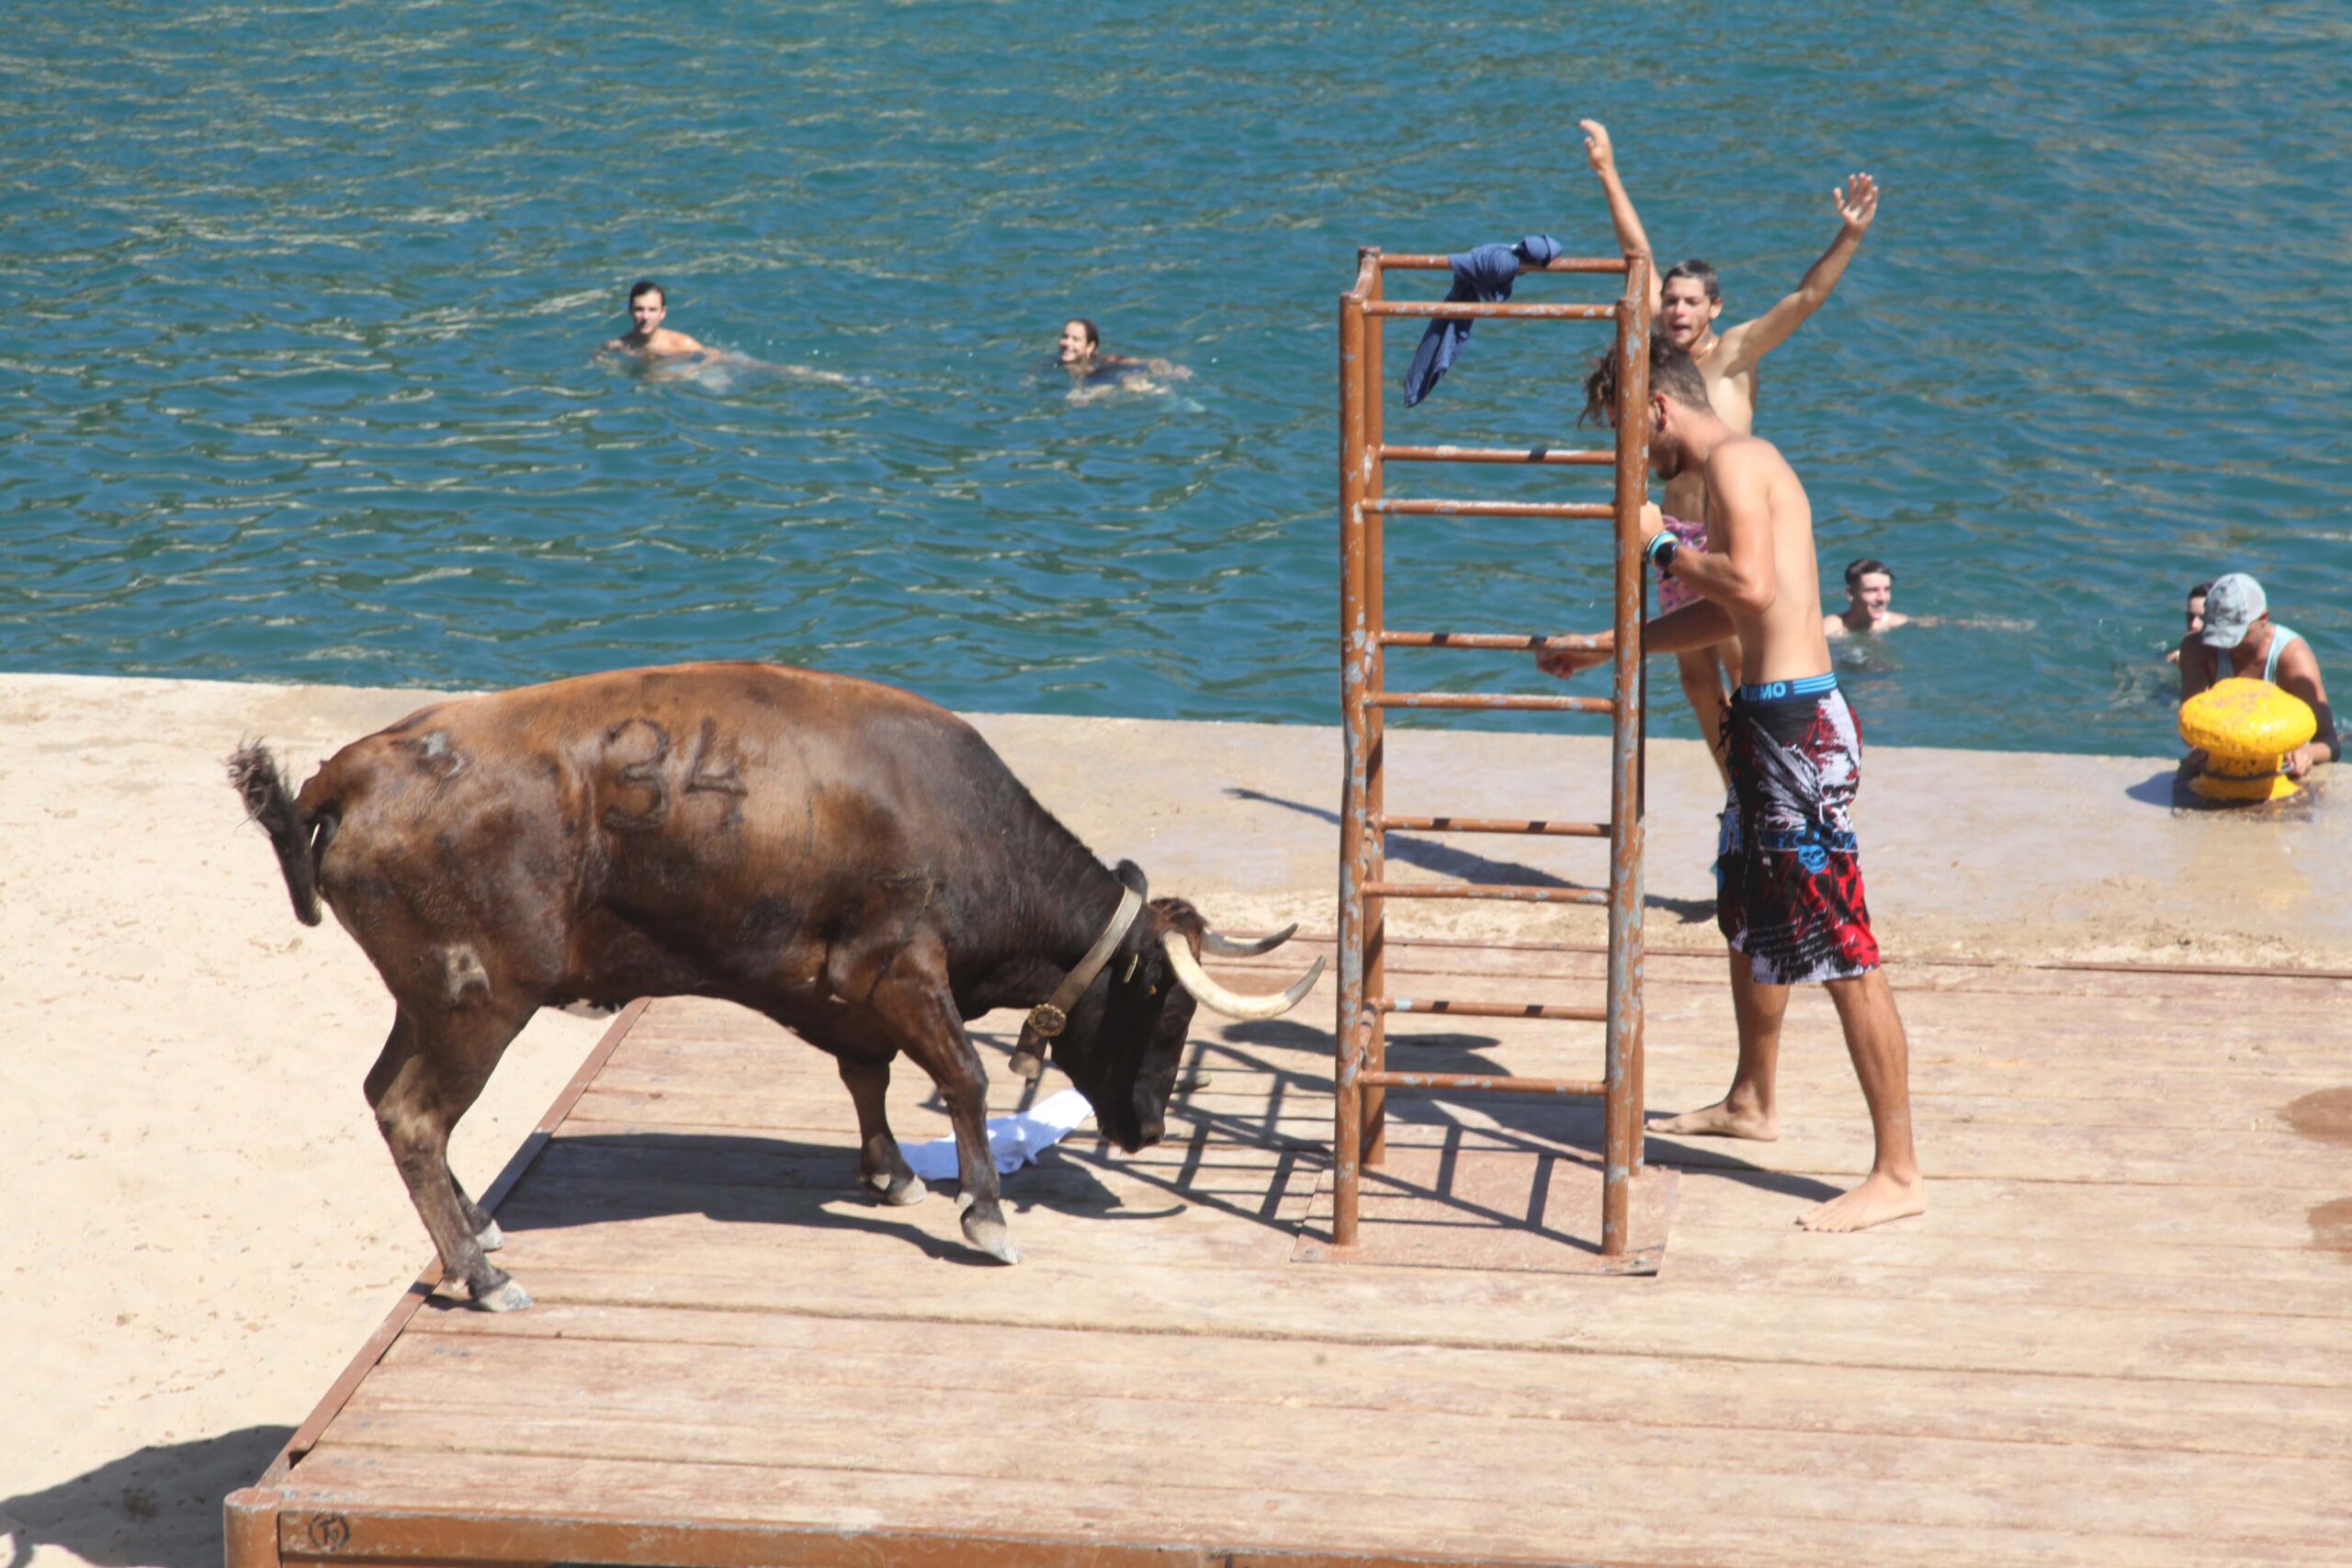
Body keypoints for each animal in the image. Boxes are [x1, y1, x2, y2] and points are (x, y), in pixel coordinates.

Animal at [227, 662, 1317, 1316]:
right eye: (1164, 1003)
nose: (1149, 1131)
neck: (955, 819)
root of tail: (351, 772)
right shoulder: (899, 963)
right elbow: (960, 1076)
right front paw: (985, 1214)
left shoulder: (843, 989)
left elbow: (869, 1076)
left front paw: (891, 1172)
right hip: (475, 1003)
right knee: (415, 1116)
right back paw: (486, 1274)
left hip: (426, 1004)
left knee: (390, 1099)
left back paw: (477, 1233)